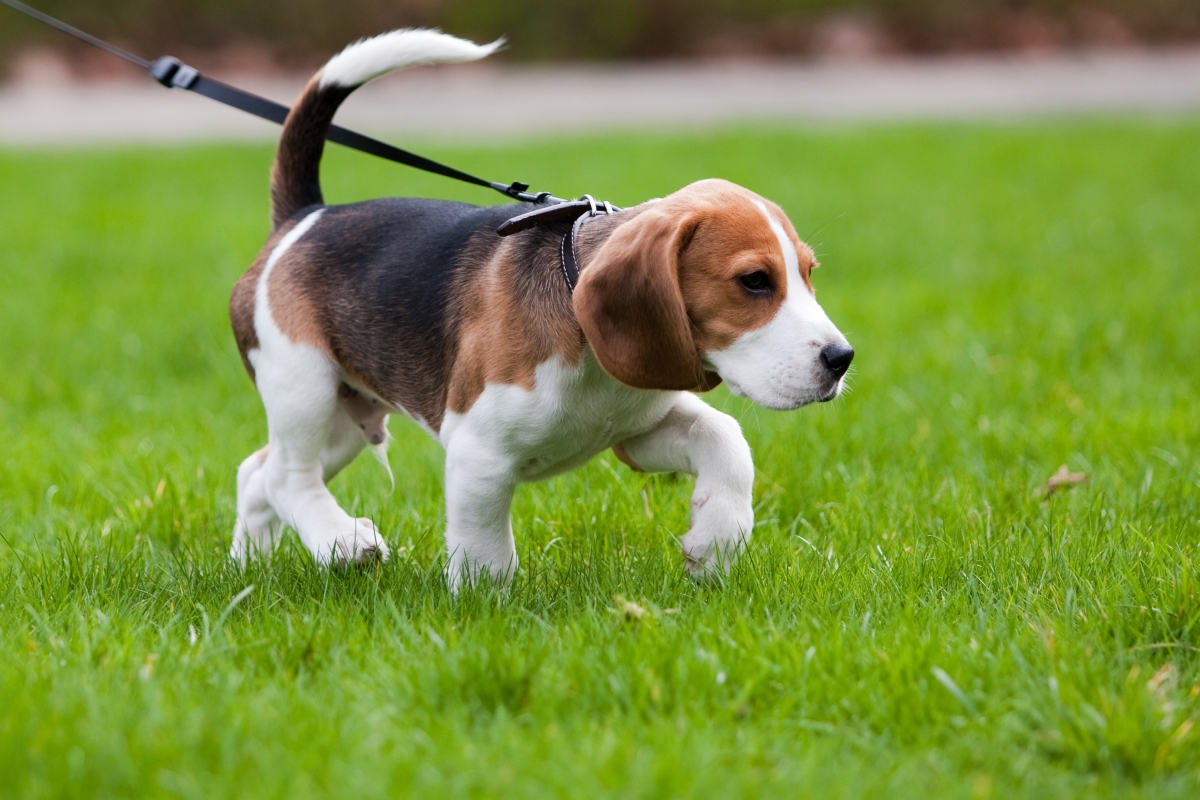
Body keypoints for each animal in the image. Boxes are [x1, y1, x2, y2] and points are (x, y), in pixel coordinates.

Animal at [226, 28, 854, 587]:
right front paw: (484, 608)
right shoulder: (478, 453)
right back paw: (342, 541)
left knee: (256, 472)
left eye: (809, 274)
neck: (591, 354)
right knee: (287, 478)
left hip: (346, 416)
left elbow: (726, 439)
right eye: (754, 281)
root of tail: (306, 217)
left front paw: (716, 542)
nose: (842, 359)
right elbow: (485, 552)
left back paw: (248, 567)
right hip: (303, 384)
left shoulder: (638, 431)